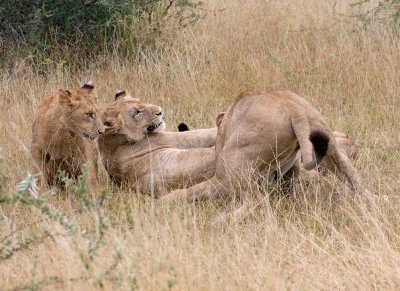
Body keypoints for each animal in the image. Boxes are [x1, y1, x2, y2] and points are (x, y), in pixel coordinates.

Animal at [161, 90, 360, 204]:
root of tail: (293, 109)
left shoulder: (222, 177)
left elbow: (193, 190)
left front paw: (165, 200)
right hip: (328, 142)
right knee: (351, 174)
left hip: (234, 162)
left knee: (254, 201)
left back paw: (222, 222)